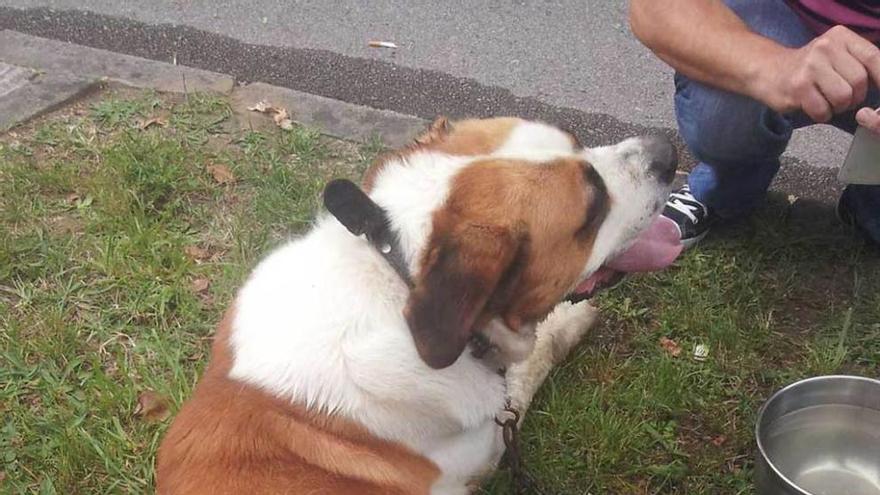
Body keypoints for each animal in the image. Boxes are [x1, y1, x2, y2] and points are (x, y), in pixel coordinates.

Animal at [156, 118, 680, 494]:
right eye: (593, 208)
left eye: (576, 140)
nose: (668, 152)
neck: (399, 280)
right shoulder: (482, 448)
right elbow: (522, 374)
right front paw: (568, 324)